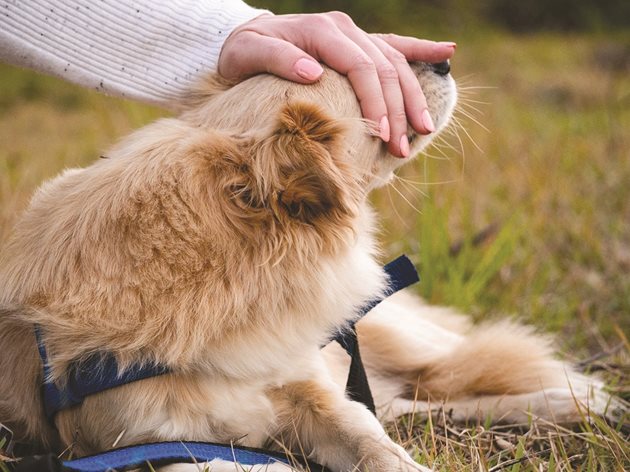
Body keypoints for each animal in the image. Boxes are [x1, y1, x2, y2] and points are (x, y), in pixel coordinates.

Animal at [0, 63, 624, 472]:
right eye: (375, 95)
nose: (443, 60)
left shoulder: (315, 394)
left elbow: (375, 445)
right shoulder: (148, 448)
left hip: (404, 343)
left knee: (455, 374)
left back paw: (582, 400)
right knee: (422, 403)